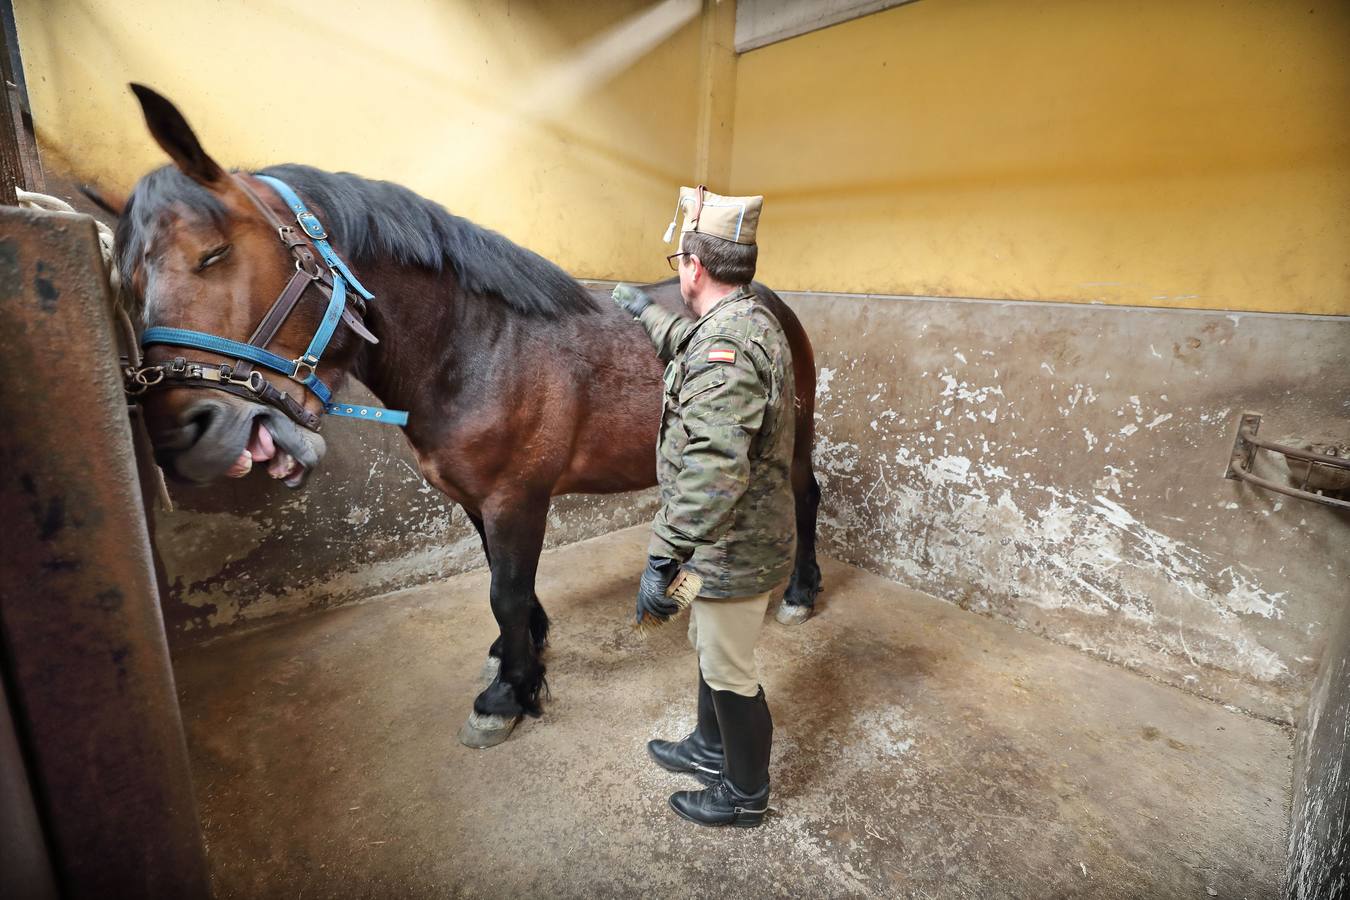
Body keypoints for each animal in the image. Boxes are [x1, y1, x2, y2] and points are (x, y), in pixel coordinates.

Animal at [118, 86, 820, 744]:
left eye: (213, 254)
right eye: (131, 284)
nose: (181, 434)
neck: (476, 347)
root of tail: (763, 295)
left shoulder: (516, 497)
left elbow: (504, 591)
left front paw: (506, 696)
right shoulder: (474, 499)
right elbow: (505, 586)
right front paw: (519, 654)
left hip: (795, 436)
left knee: (805, 497)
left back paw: (799, 593)